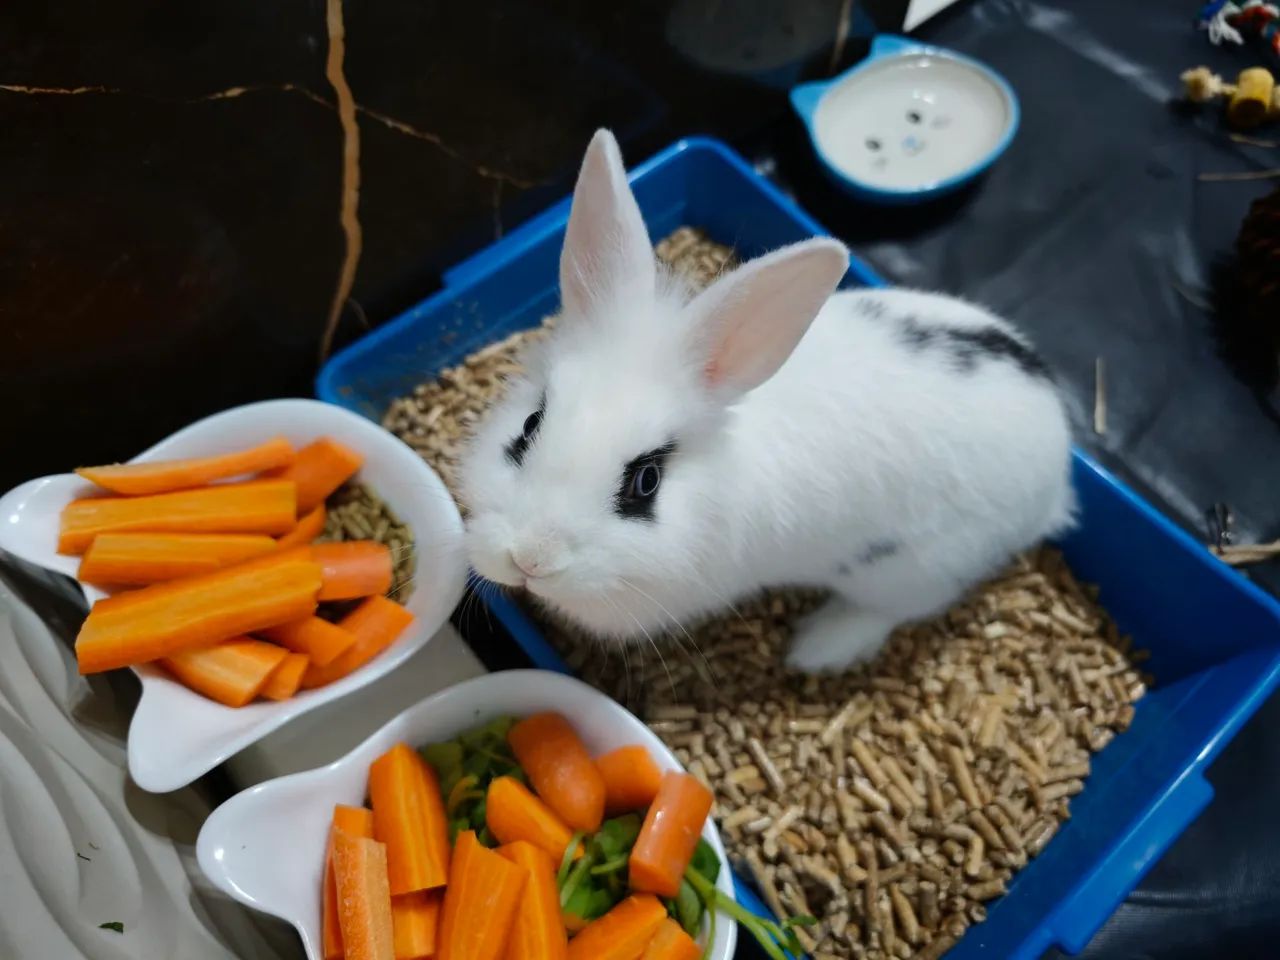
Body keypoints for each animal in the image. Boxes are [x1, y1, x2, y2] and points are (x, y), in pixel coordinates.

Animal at [460, 129, 1075, 673]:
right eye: (530, 424)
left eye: (648, 481)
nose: (530, 557)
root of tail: (1058, 462)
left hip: (915, 569)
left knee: (897, 610)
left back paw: (819, 646)